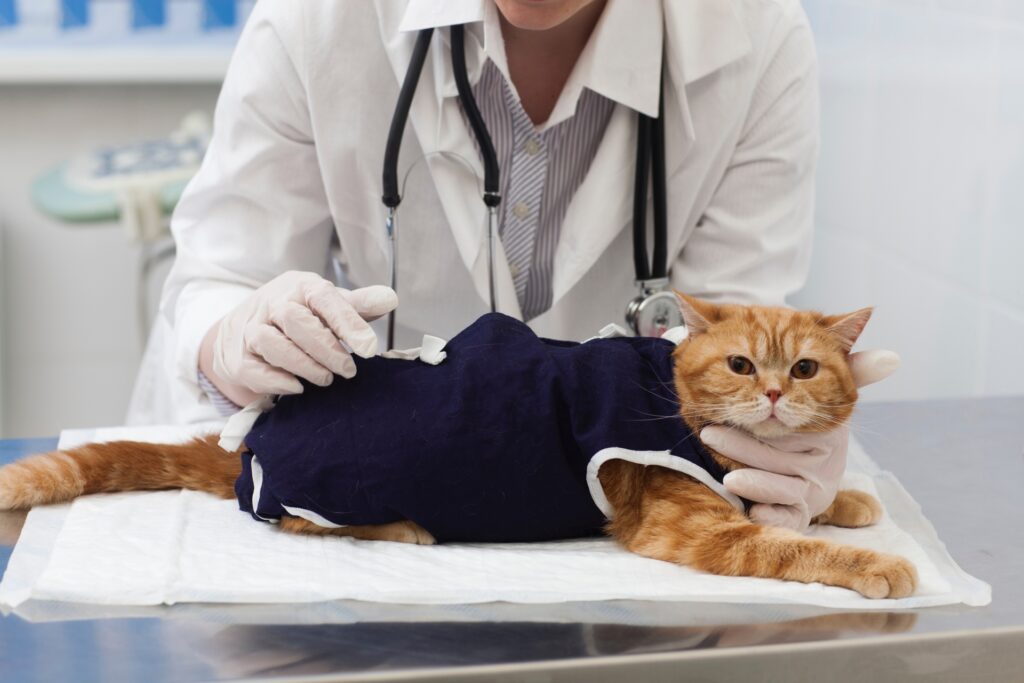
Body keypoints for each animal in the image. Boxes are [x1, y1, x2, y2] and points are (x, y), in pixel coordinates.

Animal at [0, 294, 913, 598]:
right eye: (739, 363)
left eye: (804, 366)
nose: (773, 393)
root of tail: (260, 426)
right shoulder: (689, 524)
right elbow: (787, 546)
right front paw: (874, 562)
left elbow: (796, 502)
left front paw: (840, 493)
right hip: (336, 483)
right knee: (291, 516)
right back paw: (398, 528)